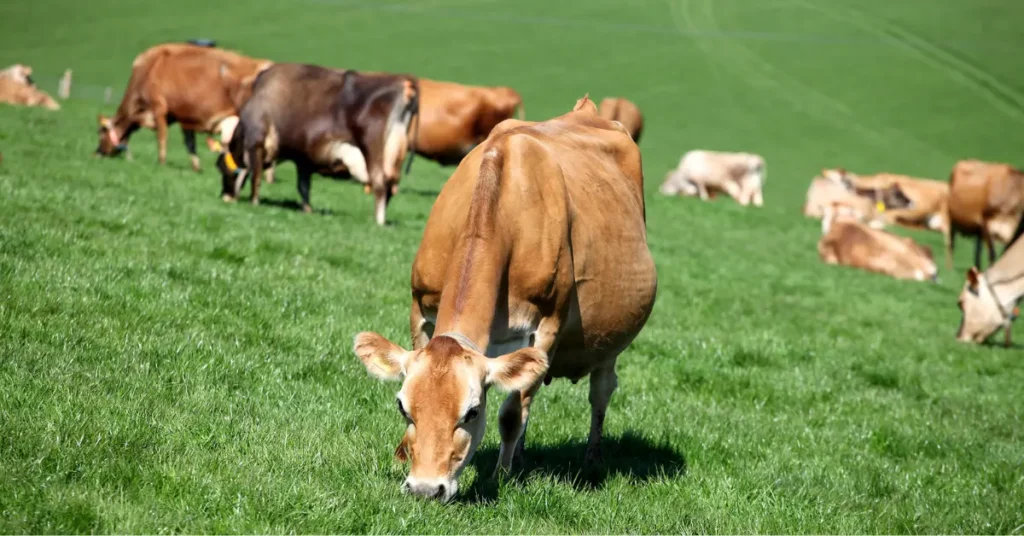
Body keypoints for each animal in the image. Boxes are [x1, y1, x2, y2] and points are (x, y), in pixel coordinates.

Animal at [95, 43, 273, 173]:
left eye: (100, 133)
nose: (97, 153)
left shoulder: (159, 109)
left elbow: (162, 138)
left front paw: (162, 163)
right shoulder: (185, 117)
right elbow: (190, 144)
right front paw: (196, 167)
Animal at [218, 63, 419, 226]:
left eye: (223, 171)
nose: (225, 197)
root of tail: (403, 83)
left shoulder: (256, 141)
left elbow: (255, 176)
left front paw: (254, 202)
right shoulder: (302, 157)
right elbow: (303, 186)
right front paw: (307, 210)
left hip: (372, 150)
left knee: (379, 183)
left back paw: (378, 221)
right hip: (395, 156)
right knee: (390, 186)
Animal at [351, 95, 657, 502]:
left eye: (472, 412)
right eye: (403, 407)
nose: (425, 490)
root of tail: (587, 109)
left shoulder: (546, 325)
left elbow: (512, 414)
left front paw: (501, 475)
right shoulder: (420, 309)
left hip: (611, 343)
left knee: (599, 393)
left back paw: (591, 459)